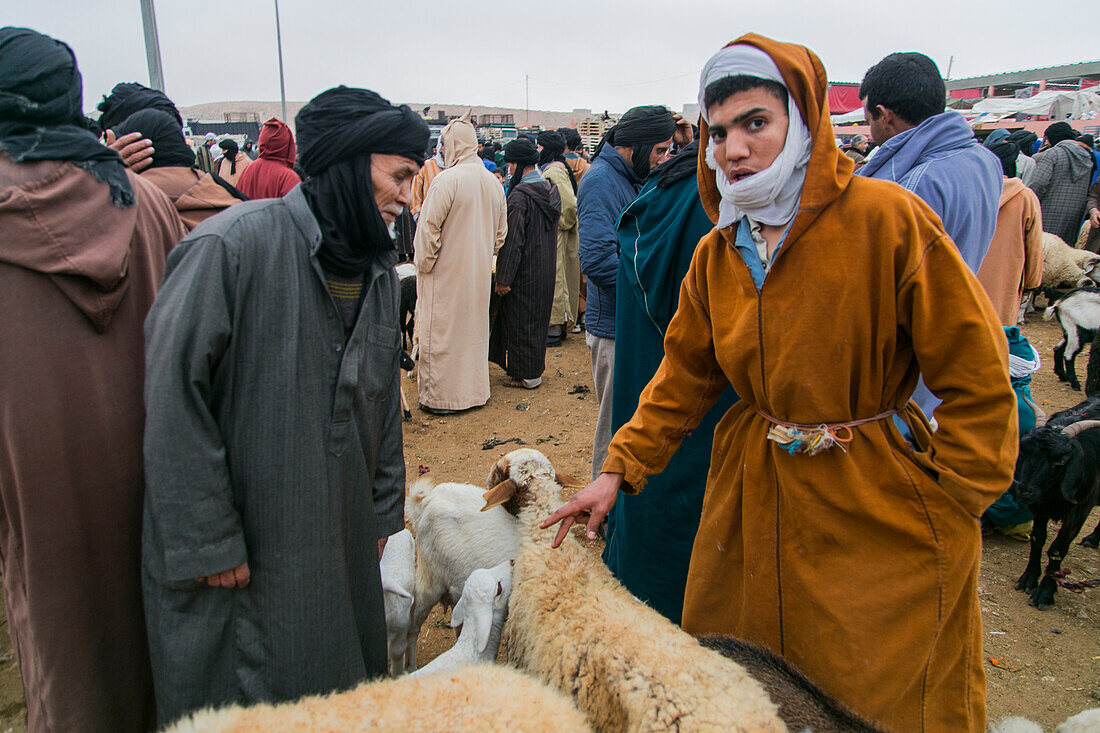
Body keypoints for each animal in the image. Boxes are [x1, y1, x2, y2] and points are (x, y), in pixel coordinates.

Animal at [1007, 396, 1100, 607]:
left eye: (1059, 463)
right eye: (1024, 454)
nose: (1023, 490)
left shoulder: (1080, 508)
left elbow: (1058, 548)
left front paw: (1046, 591)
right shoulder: (1039, 506)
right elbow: (1038, 538)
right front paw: (1028, 578)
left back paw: (1093, 539)